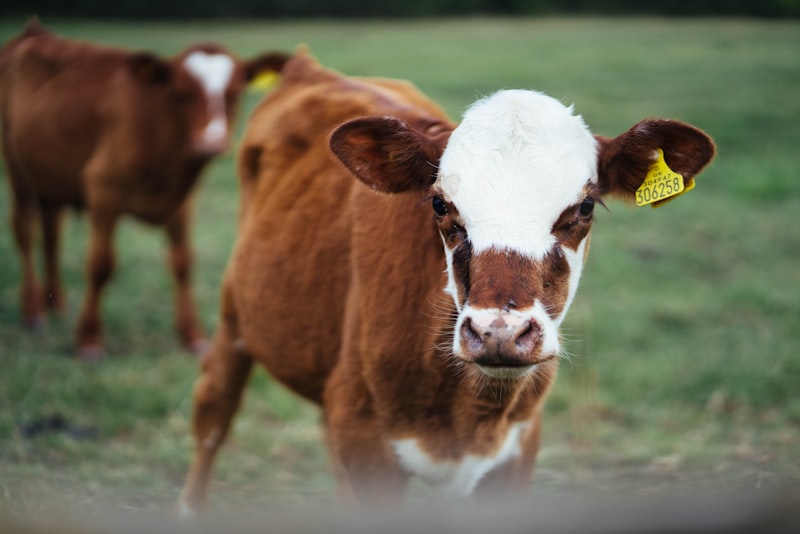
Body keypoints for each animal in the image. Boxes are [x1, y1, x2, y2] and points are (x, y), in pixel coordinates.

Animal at [0, 20, 289, 358]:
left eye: (233, 94)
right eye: (181, 93)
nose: (211, 143)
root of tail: (33, 30)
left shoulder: (182, 202)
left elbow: (183, 262)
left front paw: (192, 335)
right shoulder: (103, 190)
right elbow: (100, 264)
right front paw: (88, 339)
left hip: (50, 178)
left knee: (51, 234)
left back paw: (55, 303)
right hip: (18, 173)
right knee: (24, 232)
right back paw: (33, 311)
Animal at [178, 49, 715, 512]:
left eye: (584, 207)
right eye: (439, 204)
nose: (499, 332)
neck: (466, 411)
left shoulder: (517, 448)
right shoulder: (364, 439)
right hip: (234, 316)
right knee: (211, 413)